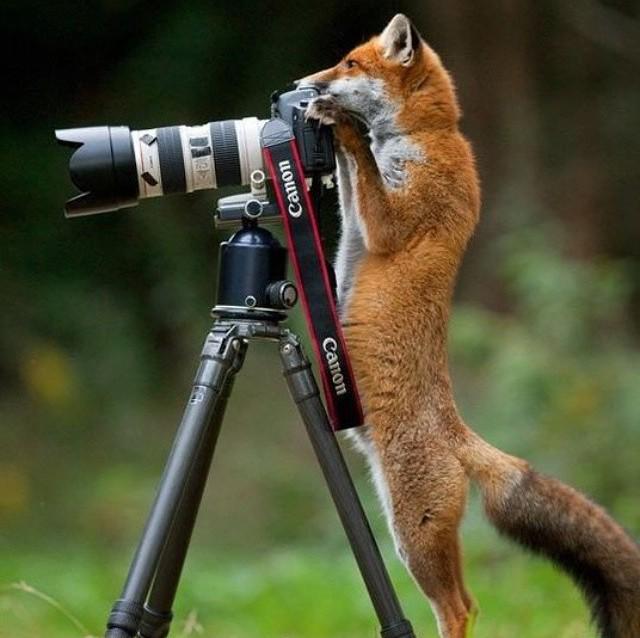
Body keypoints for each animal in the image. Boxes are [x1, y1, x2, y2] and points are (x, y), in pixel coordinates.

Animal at [300, 13, 640, 638]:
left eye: (350, 64)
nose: (304, 85)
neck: (427, 138)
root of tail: (458, 434)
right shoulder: (359, 222)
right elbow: (351, 186)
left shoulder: (396, 221)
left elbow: (364, 168)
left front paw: (344, 129)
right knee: (469, 603)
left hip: (411, 532)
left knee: (461, 607)